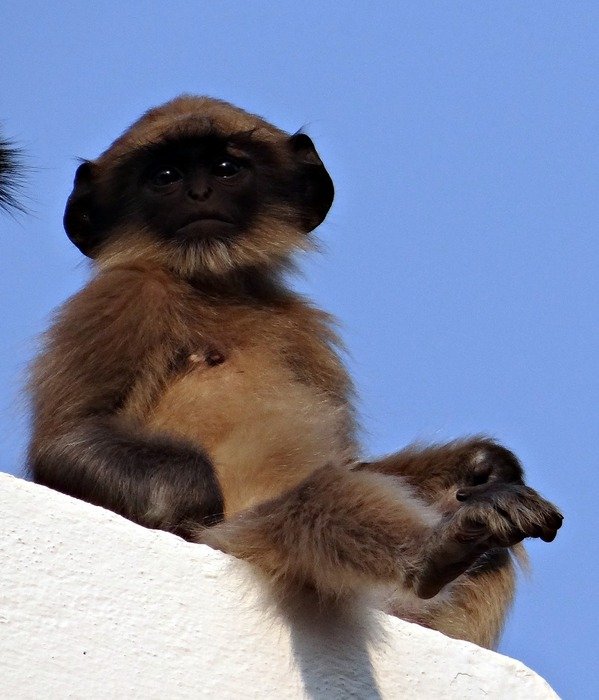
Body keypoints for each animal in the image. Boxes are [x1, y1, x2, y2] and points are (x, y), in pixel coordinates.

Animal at [28, 95, 564, 648]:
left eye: (225, 169)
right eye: (166, 176)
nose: (199, 193)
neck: (213, 285)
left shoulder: (305, 330)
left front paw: (483, 461)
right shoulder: (124, 296)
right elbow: (65, 444)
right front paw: (188, 495)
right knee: (313, 500)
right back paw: (439, 550)